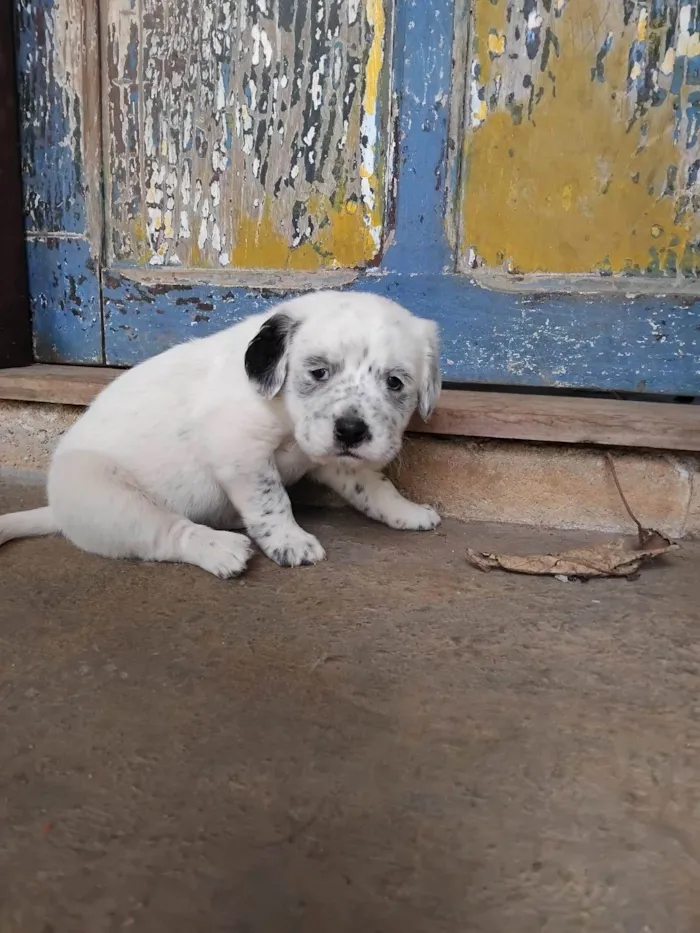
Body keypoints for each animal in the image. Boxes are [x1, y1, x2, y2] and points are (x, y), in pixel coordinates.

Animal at [0, 292, 440, 576]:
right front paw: (290, 542)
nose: (350, 431)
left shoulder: (332, 456)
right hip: (108, 496)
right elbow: (272, 501)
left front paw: (406, 511)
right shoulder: (240, 450)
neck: (284, 415)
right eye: (318, 372)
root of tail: (58, 511)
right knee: (166, 533)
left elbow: (374, 487)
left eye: (396, 382)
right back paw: (219, 549)